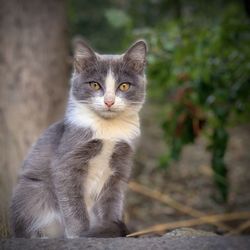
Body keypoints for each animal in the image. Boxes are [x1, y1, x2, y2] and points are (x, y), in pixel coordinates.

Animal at [9, 37, 147, 238]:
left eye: (124, 86)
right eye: (95, 85)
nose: (109, 101)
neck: (108, 129)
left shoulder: (121, 164)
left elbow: (112, 201)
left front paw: (107, 228)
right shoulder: (67, 158)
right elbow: (73, 201)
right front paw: (79, 234)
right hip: (35, 192)